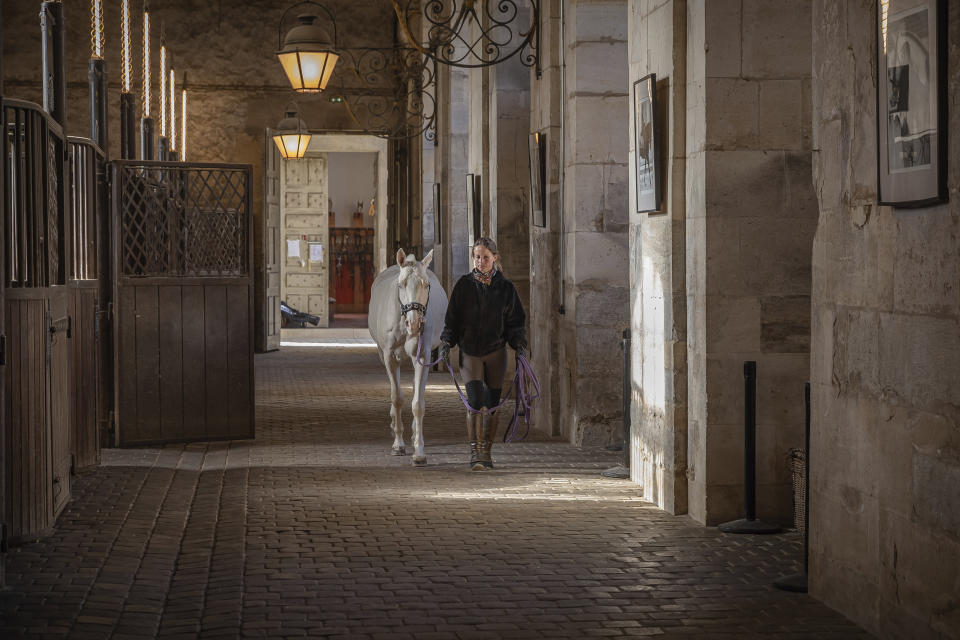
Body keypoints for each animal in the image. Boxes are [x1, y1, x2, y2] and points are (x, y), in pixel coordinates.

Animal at [366, 248, 448, 462]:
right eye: (401, 284)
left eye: (426, 285)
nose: (415, 324)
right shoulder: (389, 357)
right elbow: (397, 398)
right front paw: (398, 444)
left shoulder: (423, 356)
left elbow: (418, 402)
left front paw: (419, 452)